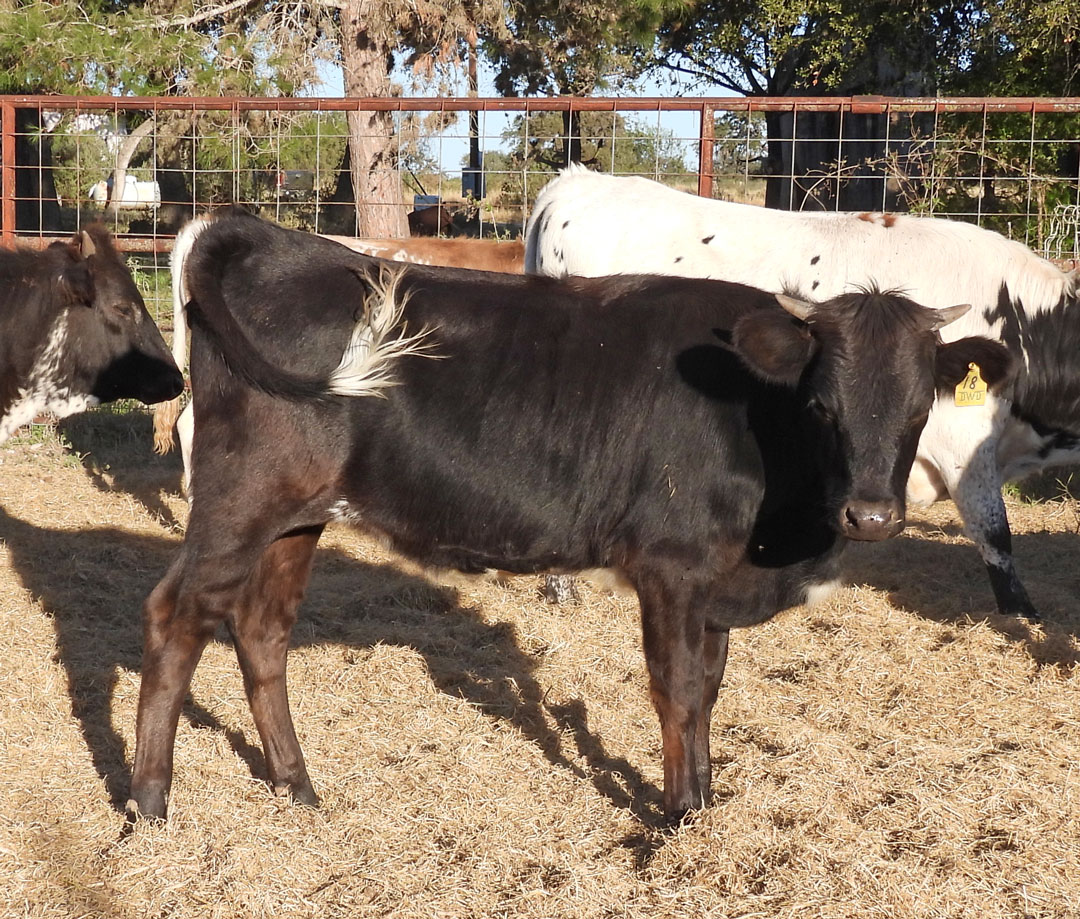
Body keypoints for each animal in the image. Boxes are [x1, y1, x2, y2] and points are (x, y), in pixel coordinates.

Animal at [128, 210, 1010, 825]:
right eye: (823, 404)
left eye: (919, 406)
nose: (873, 515)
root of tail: (273, 238)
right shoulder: (672, 566)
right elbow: (678, 689)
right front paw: (679, 817)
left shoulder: (716, 580)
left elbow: (711, 689)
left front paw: (708, 801)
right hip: (239, 499)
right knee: (175, 617)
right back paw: (150, 804)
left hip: (296, 515)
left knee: (261, 630)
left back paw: (298, 786)